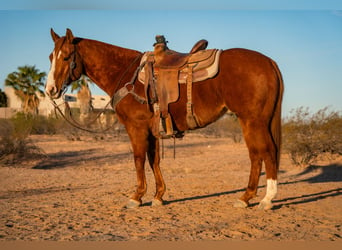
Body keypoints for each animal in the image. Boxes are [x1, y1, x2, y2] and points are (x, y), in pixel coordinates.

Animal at [46, 28, 284, 210]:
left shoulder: (136, 127)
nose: (50, 90)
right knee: (256, 155)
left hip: (253, 120)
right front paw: (158, 196)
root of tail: (269, 62)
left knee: (265, 152)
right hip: (252, 121)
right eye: (51, 57)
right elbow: (154, 160)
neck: (127, 74)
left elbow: (139, 159)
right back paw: (246, 198)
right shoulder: (152, 130)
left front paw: (136, 197)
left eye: (66, 57)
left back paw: (266, 199)